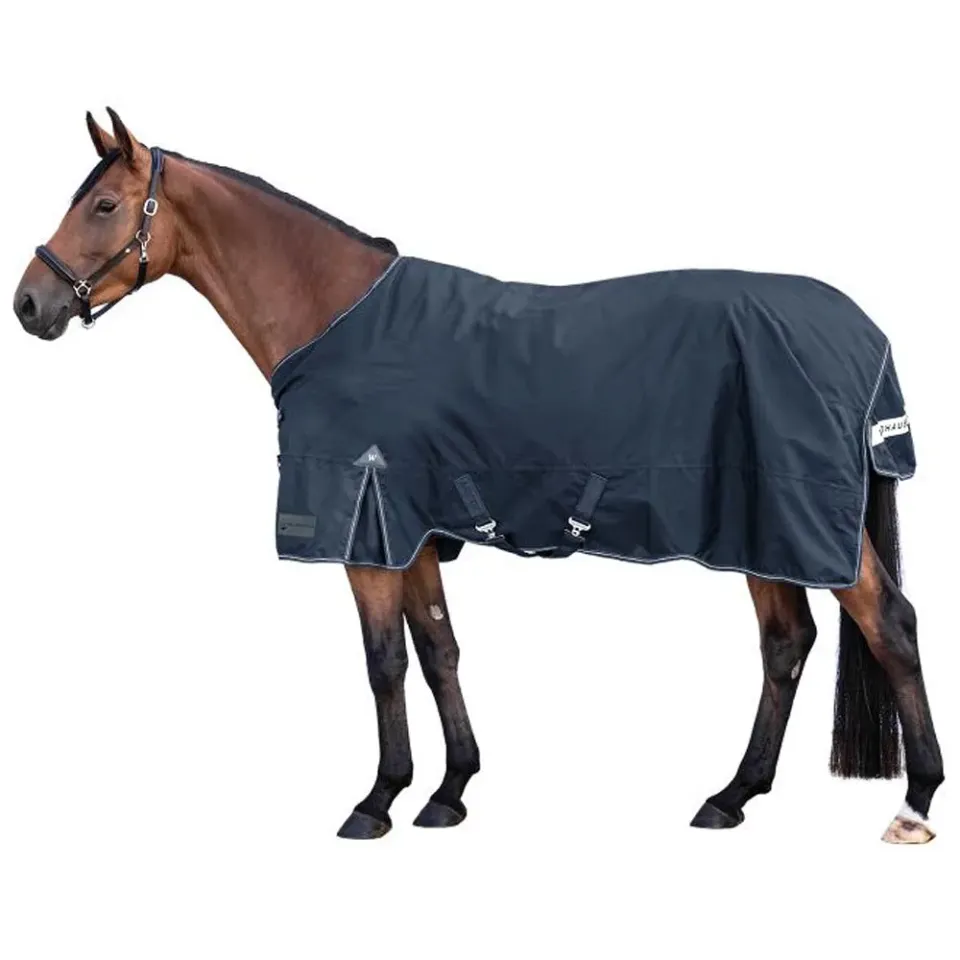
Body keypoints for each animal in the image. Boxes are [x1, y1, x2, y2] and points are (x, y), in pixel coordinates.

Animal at [13, 109, 944, 842]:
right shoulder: (414, 531)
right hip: (757, 526)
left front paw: (377, 800)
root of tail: (862, 331)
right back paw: (731, 796)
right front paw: (450, 791)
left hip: (798, 520)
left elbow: (384, 661)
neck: (335, 318)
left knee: (888, 624)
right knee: (787, 643)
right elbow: (439, 650)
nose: (28, 305)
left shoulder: (367, 531)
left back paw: (916, 802)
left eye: (102, 205)